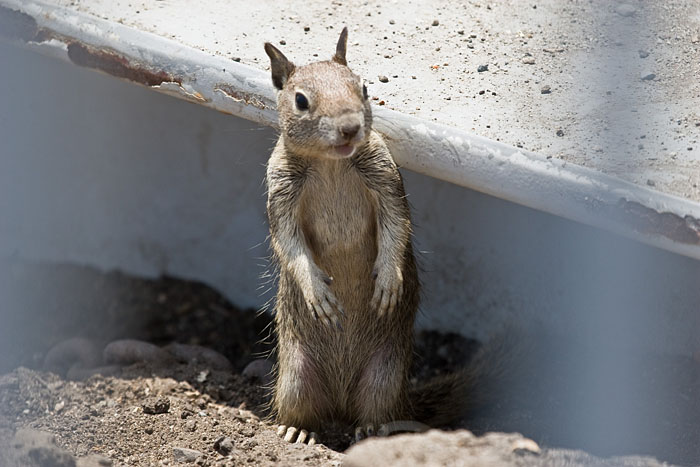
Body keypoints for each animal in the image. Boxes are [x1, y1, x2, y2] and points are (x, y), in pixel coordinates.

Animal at [266, 26, 478, 446]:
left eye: (362, 87)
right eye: (301, 101)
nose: (349, 127)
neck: (331, 164)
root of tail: (341, 403)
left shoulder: (385, 176)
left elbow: (397, 223)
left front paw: (388, 283)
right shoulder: (279, 191)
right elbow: (290, 245)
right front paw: (318, 294)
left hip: (385, 374)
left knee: (377, 414)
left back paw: (370, 430)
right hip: (295, 376)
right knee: (304, 411)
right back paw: (297, 430)